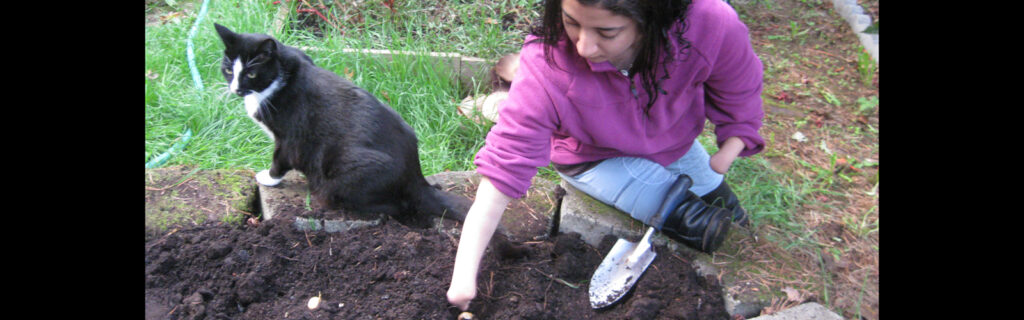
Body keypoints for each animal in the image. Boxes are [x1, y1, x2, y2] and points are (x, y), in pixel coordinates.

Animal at [217, 23, 471, 222]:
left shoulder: (289, 138)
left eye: (251, 74)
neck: (279, 77)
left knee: (397, 206)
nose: (236, 89)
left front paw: (268, 178)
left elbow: (280, 158)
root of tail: (416, 178)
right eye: (228, 70)